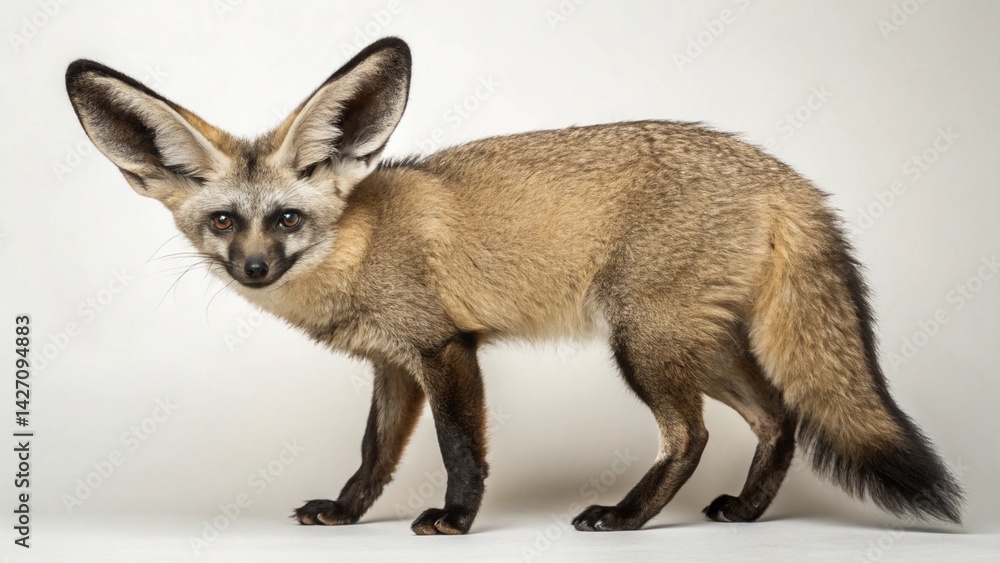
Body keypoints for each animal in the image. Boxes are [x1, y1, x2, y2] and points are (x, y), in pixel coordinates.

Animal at [65, 37, 962, 535]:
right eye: (224, 221)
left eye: (285, 219)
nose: (253, 269)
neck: (360, 242)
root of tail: (786, 175)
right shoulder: (393, 365)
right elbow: (372, 456)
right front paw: (348, 514)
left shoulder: (444, 348)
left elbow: (462, 450)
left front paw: (457, 520)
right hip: (695, 344)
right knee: (779, 418)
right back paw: (744, 511)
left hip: (644, 345)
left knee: (694, 435)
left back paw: (627, 517)